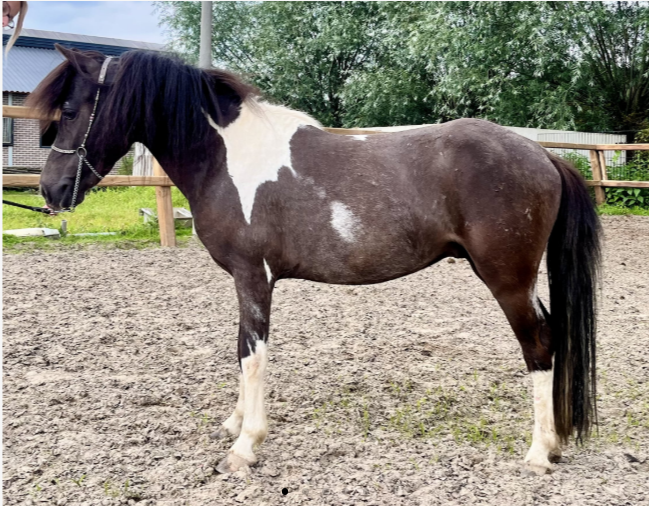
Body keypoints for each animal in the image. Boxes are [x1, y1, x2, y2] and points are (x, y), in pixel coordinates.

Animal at [28, 45, 601, 475]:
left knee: (539, 346)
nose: (50, 191)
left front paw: (245, 447)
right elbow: (240, 348)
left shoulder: (253, 277)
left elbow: (253, 355)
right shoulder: (246, 281)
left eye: (71, 111)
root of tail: (543, 154)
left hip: (508, 281)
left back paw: (539, 452)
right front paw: (235, 425)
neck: (227, 158)